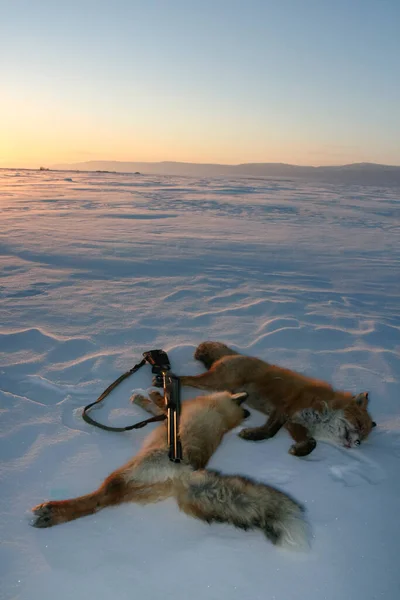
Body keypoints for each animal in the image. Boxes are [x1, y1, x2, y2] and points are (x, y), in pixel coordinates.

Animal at [32, 390, 306, 548]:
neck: (221, 414)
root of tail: (186, 473)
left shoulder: (171, 414)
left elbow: (158, 406)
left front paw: (147, 396)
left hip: (126, 472)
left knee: (98, 499)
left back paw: (52, 511)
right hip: (137, 487)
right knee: (106, 502)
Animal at [178, 340, 376, 458]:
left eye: (364, 437)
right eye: (359, 424)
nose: (357, 443)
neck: (323, 417)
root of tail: (234, 354)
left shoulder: (295, 422)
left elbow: (311, 442)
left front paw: (300, 450)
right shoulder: (286, 407)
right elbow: (271, 431)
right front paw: (253, 435)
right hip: (216, 383)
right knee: (186, 378)